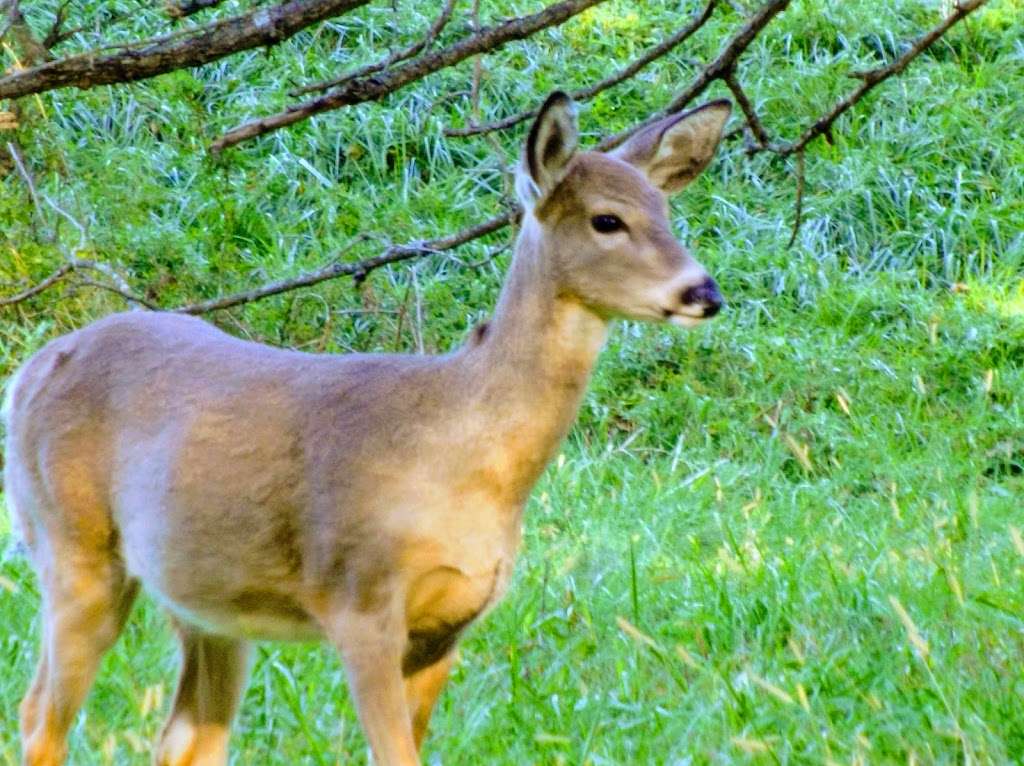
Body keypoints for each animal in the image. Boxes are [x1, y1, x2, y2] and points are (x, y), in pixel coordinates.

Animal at [4, 91, 733, 766]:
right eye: (607, 220)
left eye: (667, 214)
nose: (705, 293)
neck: (461, 450)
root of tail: (30, 372)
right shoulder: (360, 601)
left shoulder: (449, 624)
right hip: (72, 543)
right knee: (40, 716)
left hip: (203, 596)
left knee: (183, 737)